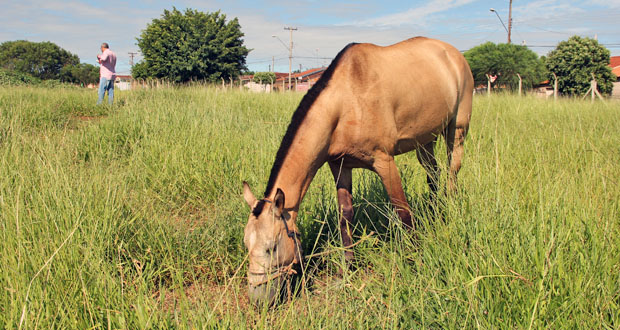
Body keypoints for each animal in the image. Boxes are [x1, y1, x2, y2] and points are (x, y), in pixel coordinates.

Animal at [240, 36, 472, 304]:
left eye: (272, 247)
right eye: (247, 245)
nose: (257, 299)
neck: (346, 102)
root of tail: (453, 53)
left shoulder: (385, 162)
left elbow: (402, 212)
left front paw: (414, 258)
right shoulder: (340, 166)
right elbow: (345, 216)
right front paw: (347, 269)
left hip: (456, 130)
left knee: (452, 172)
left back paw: (449, 211)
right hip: (426, 140)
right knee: (433, 176)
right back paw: (435, 213)